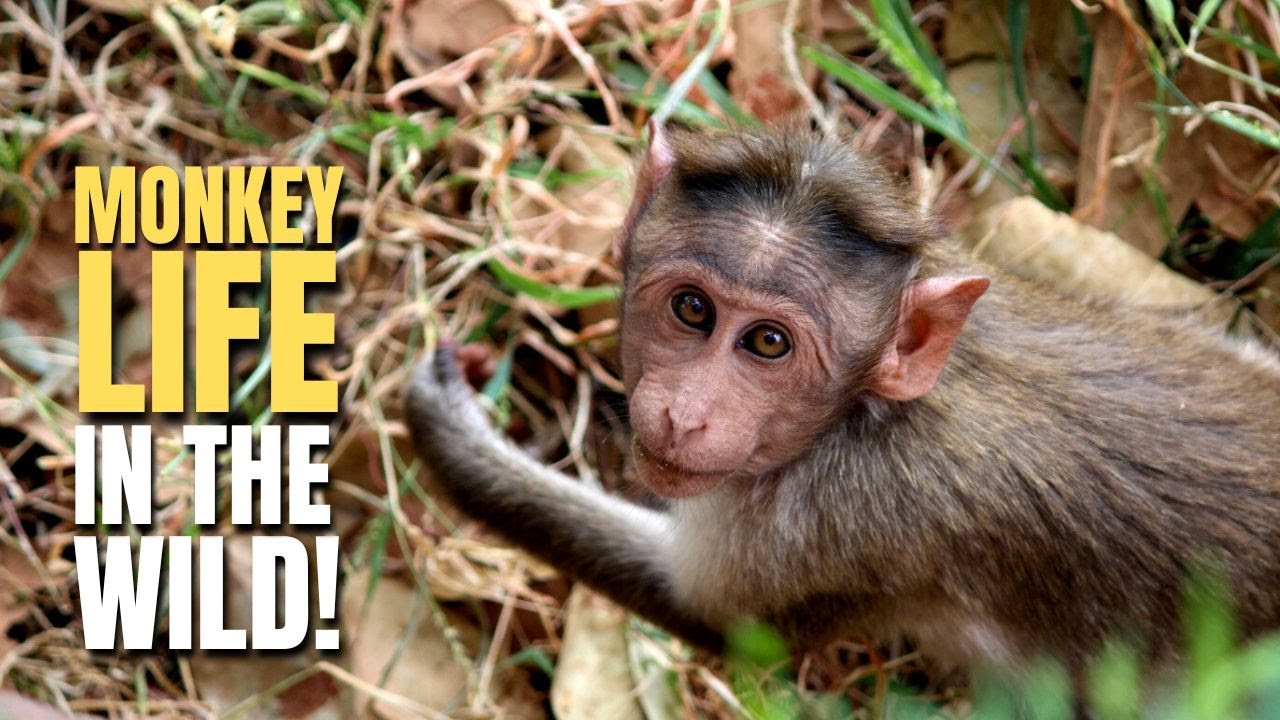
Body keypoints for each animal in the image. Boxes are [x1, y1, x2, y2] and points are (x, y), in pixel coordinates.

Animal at [404, 122, 1280, 680]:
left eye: (768, 344)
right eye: (691, 309)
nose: (685, 414)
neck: (871, 410)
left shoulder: (837, 521)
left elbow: (719, 623)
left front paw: (453, 440)